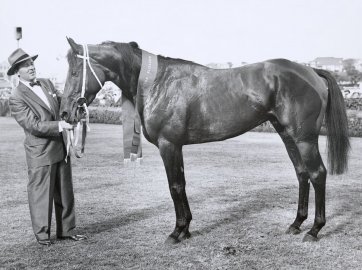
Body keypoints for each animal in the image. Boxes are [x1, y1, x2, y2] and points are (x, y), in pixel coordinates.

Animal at [60, 37, 350, 243]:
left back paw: (314, 230)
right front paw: (186, 229)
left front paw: (176, 232)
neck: (157, 83)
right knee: (302, 174)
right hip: (287, 135)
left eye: (75, 71)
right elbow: (182, 184)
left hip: (304, 139)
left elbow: (174, 186)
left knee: (317, 173)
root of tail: (310, 71)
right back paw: (296, 224)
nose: (65, 112)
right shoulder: (176, 147)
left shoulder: (169, 145)